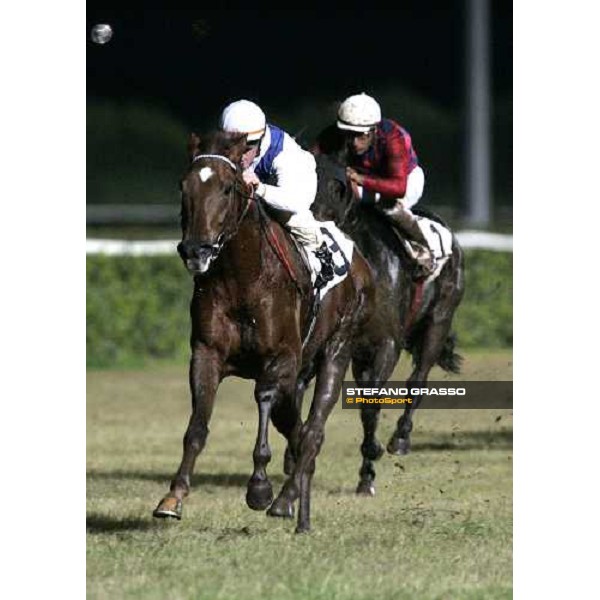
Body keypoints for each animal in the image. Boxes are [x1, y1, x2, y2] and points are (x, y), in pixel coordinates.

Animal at [152, 132, 372, 536]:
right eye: (183, 185)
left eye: (227, 188)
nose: (195, 250)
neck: (243, 279)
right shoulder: (206, 353)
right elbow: (198, 424)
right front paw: (173, 497)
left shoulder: (280, 357)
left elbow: (265, 398)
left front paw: (259, 487)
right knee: (298, 428)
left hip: (338, 346)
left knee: (313, 429)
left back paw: (286, 501)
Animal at [304, 149, 468, 492]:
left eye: (335, 185)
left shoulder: (386, 344)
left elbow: (371, 404)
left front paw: (371, 460)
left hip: (439, 319)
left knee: (418, 379)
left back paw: (400, 439)